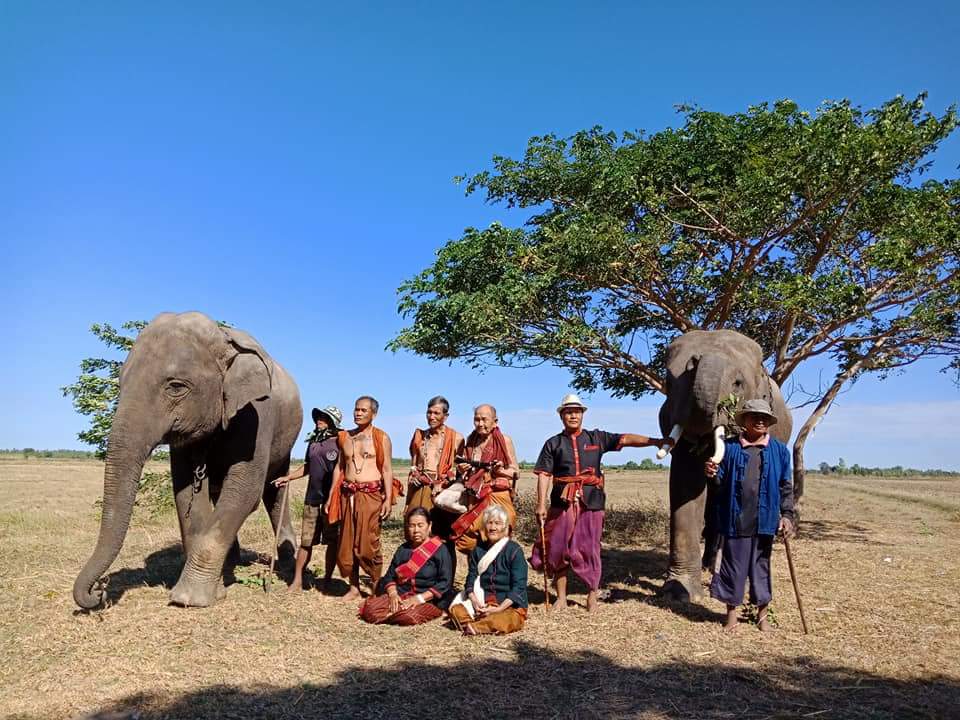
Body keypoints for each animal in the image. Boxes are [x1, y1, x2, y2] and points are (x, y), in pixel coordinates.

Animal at [73, 312, 302, 609]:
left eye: (176, 387)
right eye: (121, 384)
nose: (99, 591)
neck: (222, 337)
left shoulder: (258, 414)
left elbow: (244, 490)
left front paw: (189, 599)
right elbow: (185, 494)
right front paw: (212, 591)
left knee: (275, 491)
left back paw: (286, 561)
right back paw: (232, 561)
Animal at [656, 329, 792, 601]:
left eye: (738, 384)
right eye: (669, 381)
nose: (695, 361)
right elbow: (687, 483)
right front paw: (679, 592)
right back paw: (709, 565)